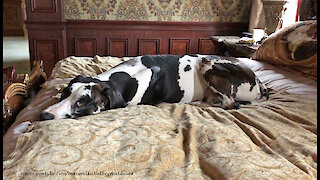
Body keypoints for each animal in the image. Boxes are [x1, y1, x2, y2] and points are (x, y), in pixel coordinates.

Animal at [40, 54, 270, 120]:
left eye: (81, 103)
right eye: (65, 93)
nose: (43, 115)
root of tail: (259, 82)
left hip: (209, 64)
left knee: (230, 103)